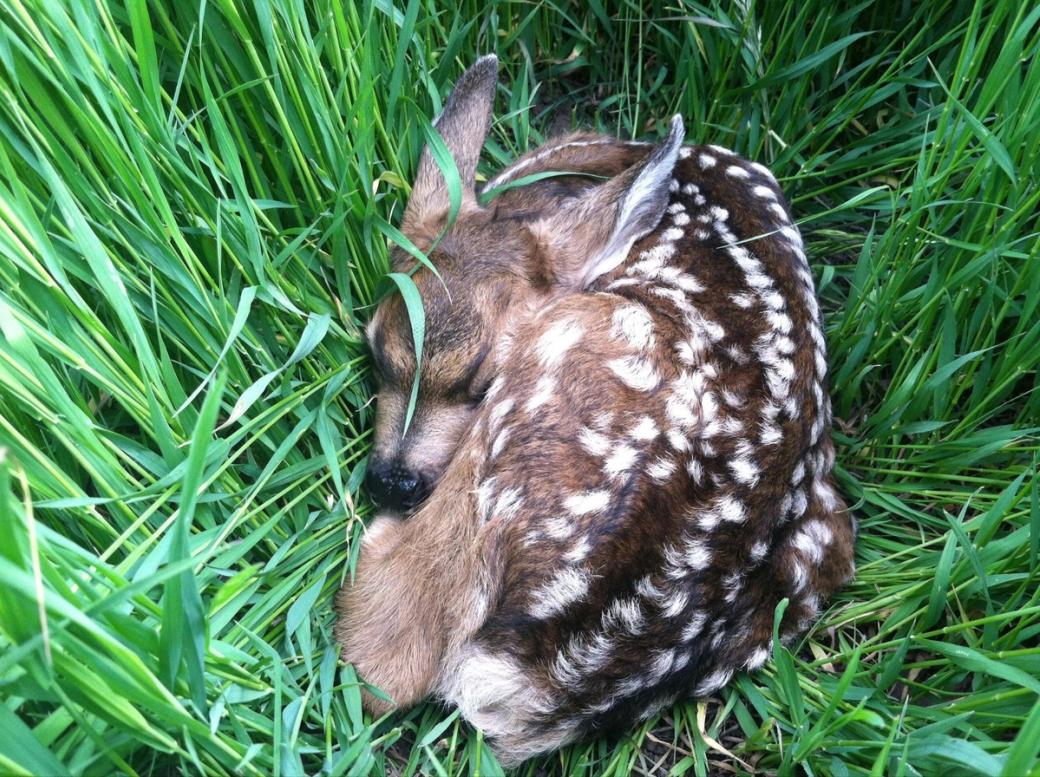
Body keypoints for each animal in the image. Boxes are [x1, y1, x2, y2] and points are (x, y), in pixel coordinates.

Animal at [336, 55, 856, 767]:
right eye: (373, 350)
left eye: (483, 381)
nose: (391, 481)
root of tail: (545, 683)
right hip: (822, 536)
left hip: (557, 368)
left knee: (386, 660)